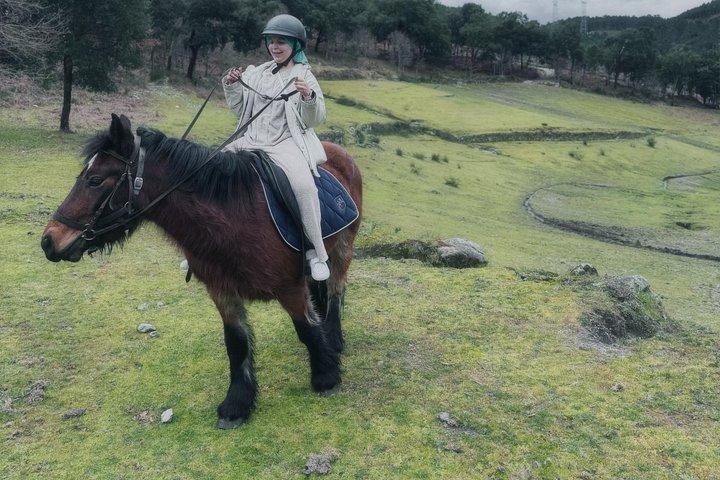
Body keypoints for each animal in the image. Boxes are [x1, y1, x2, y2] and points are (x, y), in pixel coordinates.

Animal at [41, 114, 363, 428]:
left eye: (94, 180)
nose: (49, 241)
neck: (235, 218)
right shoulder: (222, 291)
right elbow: (236, 343)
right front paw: (236, 405)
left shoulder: (290, 287)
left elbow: (306, 329)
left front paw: (326, 376)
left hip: (342, 247)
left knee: (336, 289)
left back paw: (334, 338)